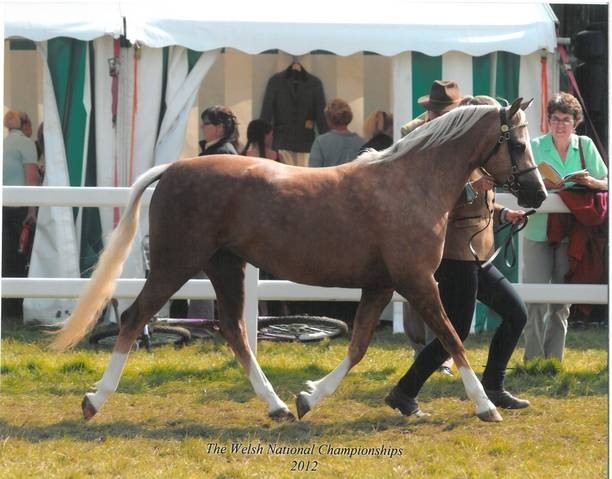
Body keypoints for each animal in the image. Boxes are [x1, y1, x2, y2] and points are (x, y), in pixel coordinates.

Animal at [51, 97, 544, 424]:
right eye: (518, 144)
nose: (537, 195)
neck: (410, 182)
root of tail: (173, 169)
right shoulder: (418, 281)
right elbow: (452, 338)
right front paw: (485, 406)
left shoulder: (382, 284)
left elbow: (358, 346)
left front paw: (309, 398)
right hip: (176, 265)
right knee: (135, 318)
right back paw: (94, 401)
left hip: (225, 267)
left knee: (234, 331)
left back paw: (278, 406)